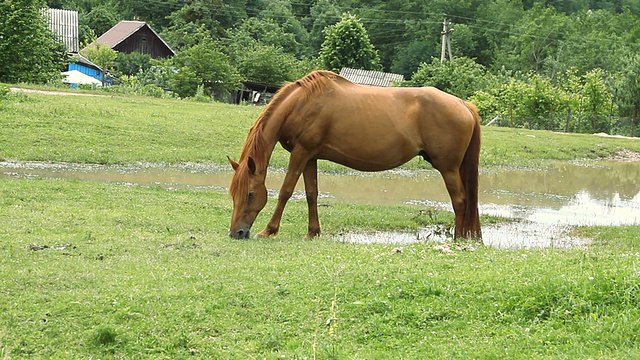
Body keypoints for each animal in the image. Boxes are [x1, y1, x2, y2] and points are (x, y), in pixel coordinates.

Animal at [228, 69, 482, 240]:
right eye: (233, 194)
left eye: (250, 194)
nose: (236, 232)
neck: (302, 104)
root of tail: (464, 104)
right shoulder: (310, 156)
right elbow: (311, 194)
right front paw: (313, 232)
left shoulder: (300, 153)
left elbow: (285, 191)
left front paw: (268, 230)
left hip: (448, 168)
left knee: (460, 200)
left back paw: (458, 239)